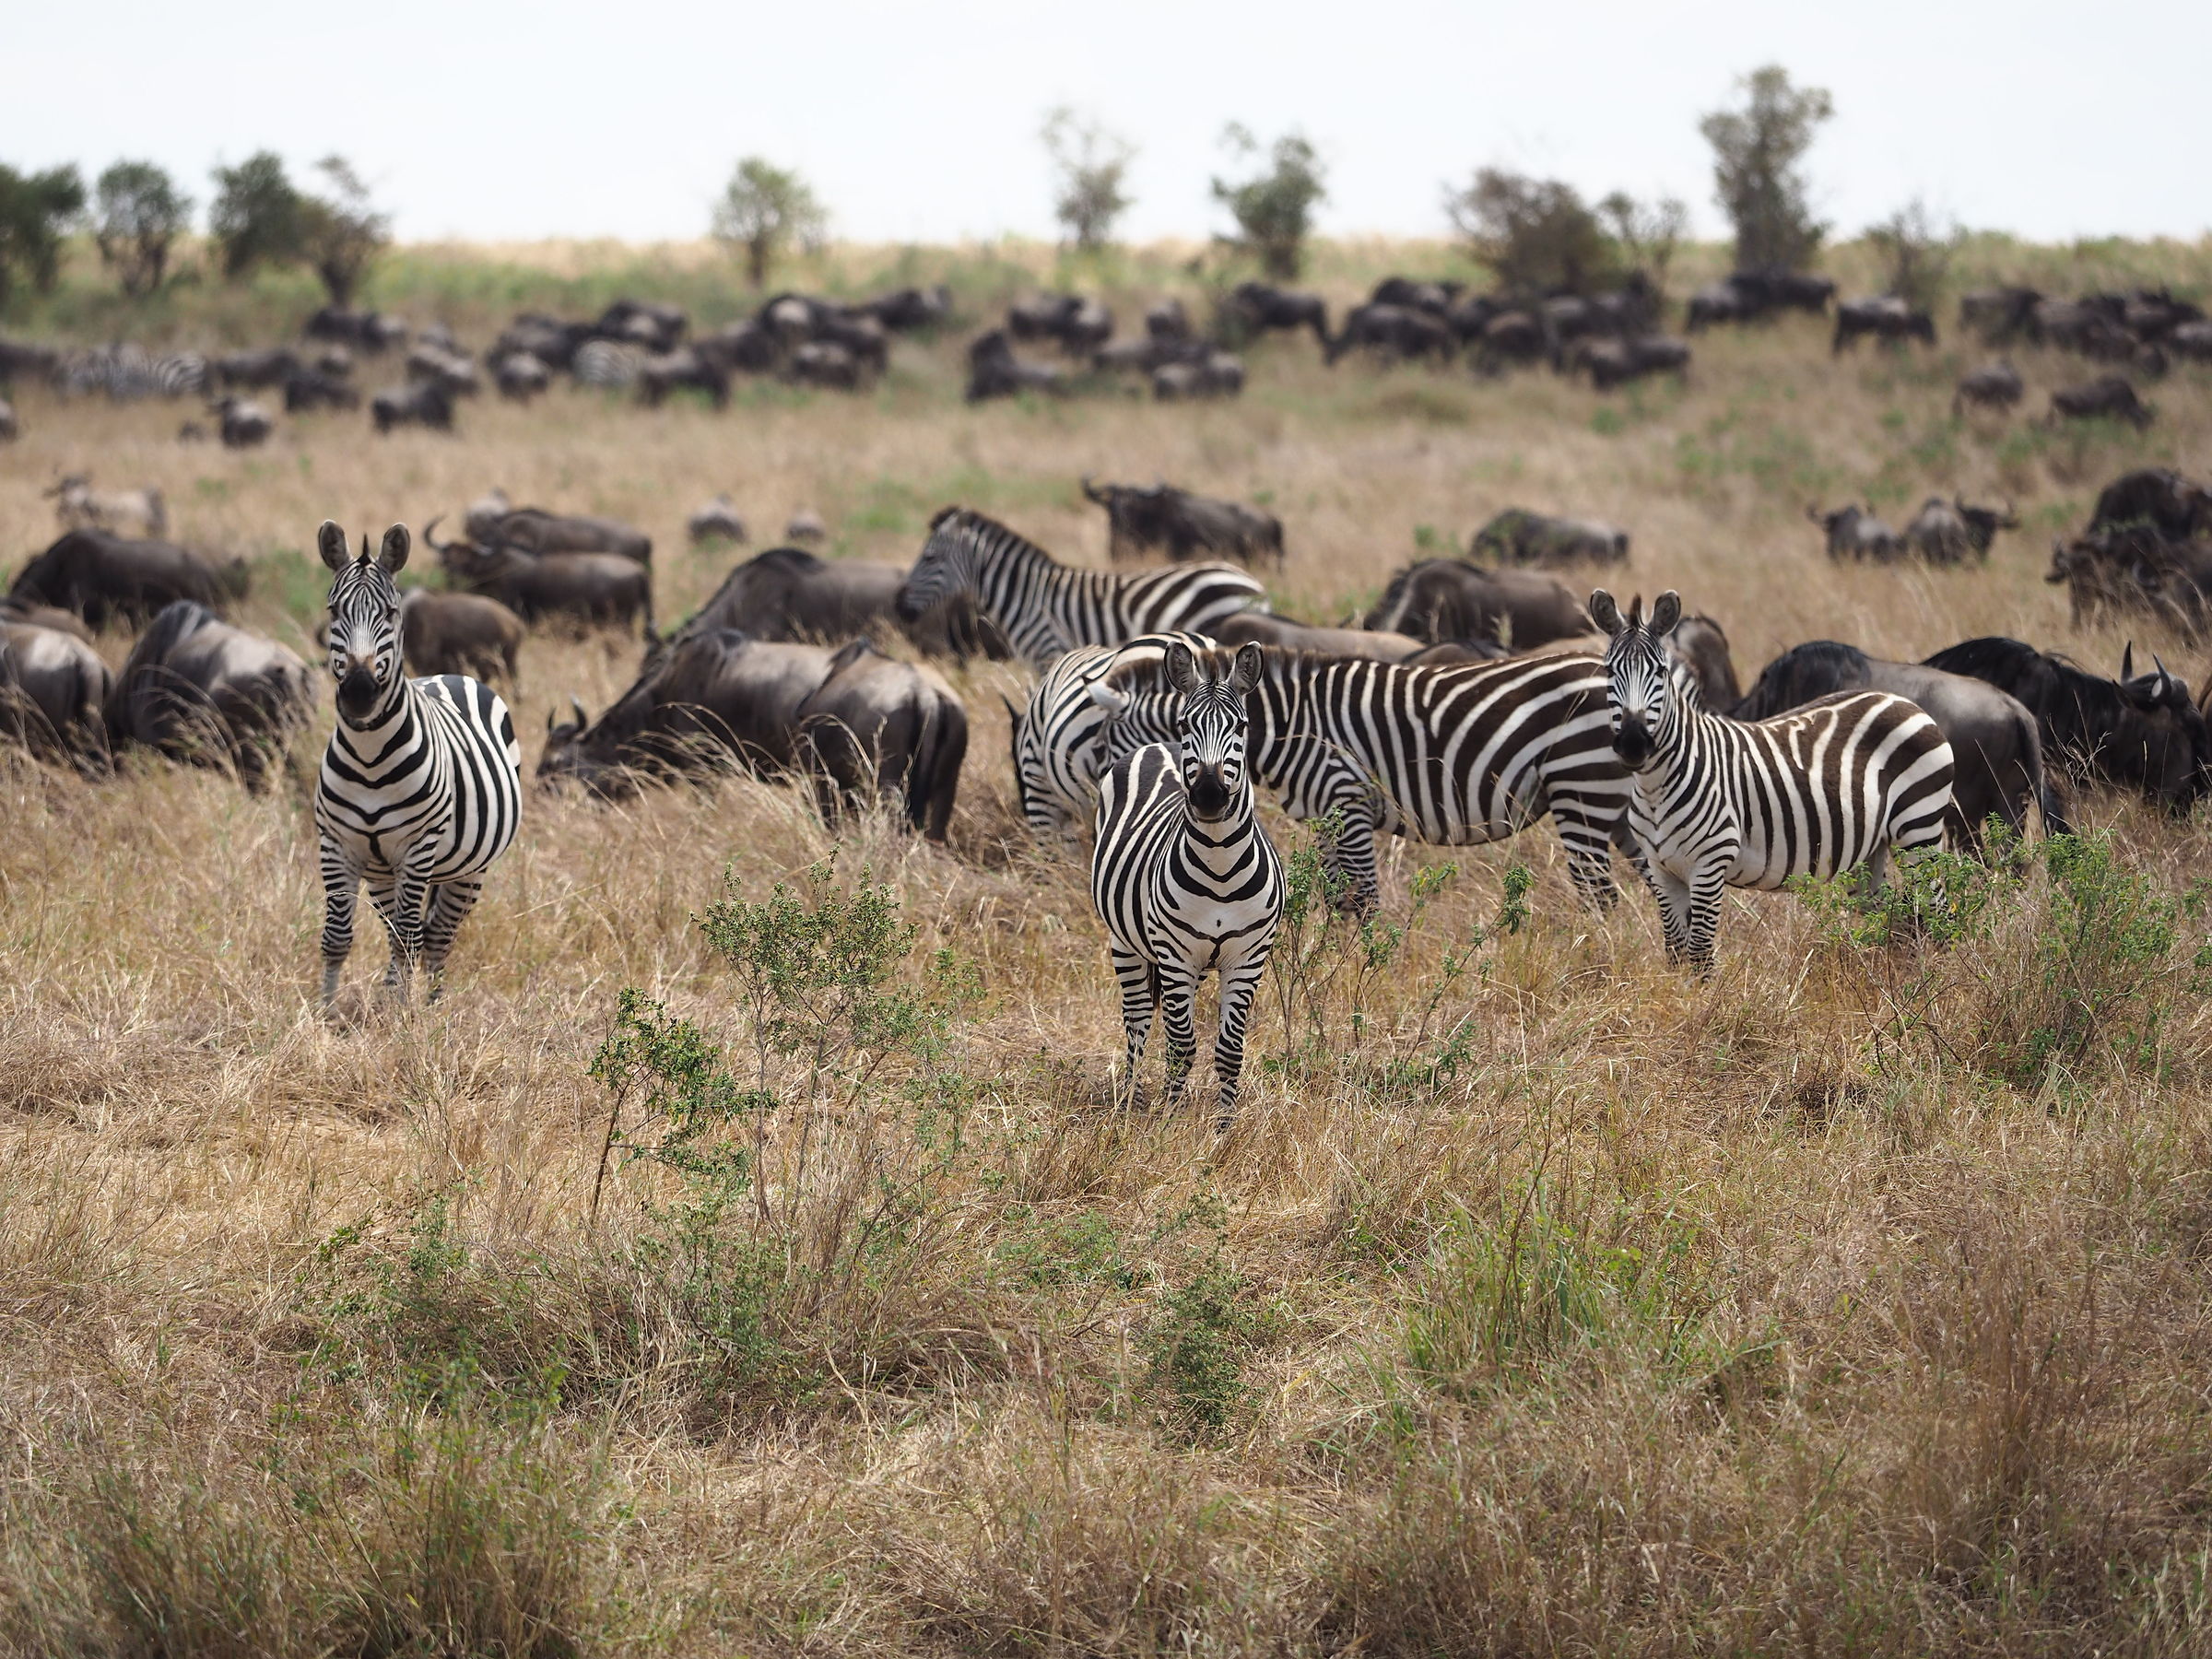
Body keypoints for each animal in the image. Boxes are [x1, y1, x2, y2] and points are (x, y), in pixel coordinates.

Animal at [314, 519, 523, 1006]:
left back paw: (431, 1004)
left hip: (468, 867)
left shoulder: (418, 845)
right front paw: (326, 1013)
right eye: (334, 611)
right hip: (381, 871)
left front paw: (403, 1016)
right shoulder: (337, 844)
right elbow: (338, 936)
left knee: (437, 934)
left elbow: (411, 937)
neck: (369, 755)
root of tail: (451, 675)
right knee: (402, 930)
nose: (359, 693)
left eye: (390, 612)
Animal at [1076, 642, 1632, 914]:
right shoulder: (1323, 818)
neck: (1293, 725)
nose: (1094, 833)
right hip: (1613, 799)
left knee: (1599, 894)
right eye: (1183, 728)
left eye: (1240, 727)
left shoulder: (1349, 802)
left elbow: (1364, 899)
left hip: (1581, 788)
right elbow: (1336, 899)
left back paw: (1591, 963)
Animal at [1091, 641, 1284, 1120]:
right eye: (1185, 724)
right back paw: (1133, 1098)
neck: (1220, 868)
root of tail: (1154, 745)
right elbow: (1181, 1046)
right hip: (1127, 942)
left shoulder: (1246, 959)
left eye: (1242, 726)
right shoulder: (1175, 955)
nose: (1209, 796)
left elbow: (1229, 1050)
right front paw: (1172, 1120)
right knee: (1138, 1017)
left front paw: (1224, 1126)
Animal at [1591, 588, 1955, 971]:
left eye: (1660, 673)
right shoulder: (1662, 869)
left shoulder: (1710, 863)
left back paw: (1939, 977)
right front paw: (1679, 987)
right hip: (1874, 845)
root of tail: (1902, 701)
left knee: (1938, 914)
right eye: (1609, 671)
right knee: (1890, 917)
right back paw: (1891, 974)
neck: (1658, 785)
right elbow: (1675, 951)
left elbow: (1700, 951)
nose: (1633, 744)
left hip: (1919, 830)